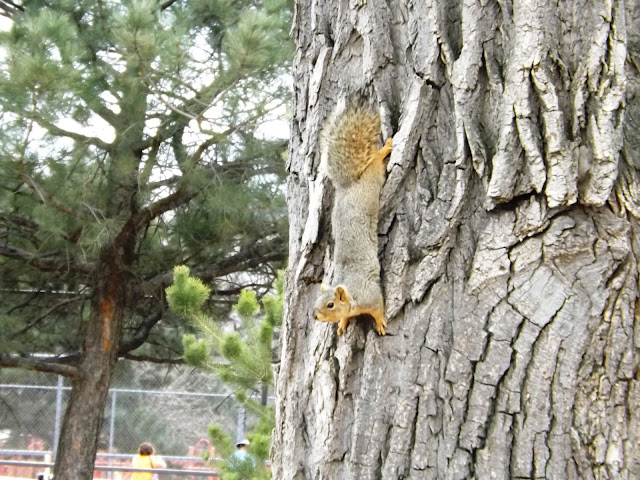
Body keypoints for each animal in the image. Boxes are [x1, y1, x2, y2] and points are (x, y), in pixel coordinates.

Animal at [312, 102, 392, 334]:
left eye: (330, 304)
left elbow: (379, 308)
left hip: (371, 183)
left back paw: (385, 149)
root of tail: (347, 186)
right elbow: (347, 317)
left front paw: (380, 322)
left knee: (374, 162)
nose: (314, 316)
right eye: (317, 301)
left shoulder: (370, 295)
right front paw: (342, 323)